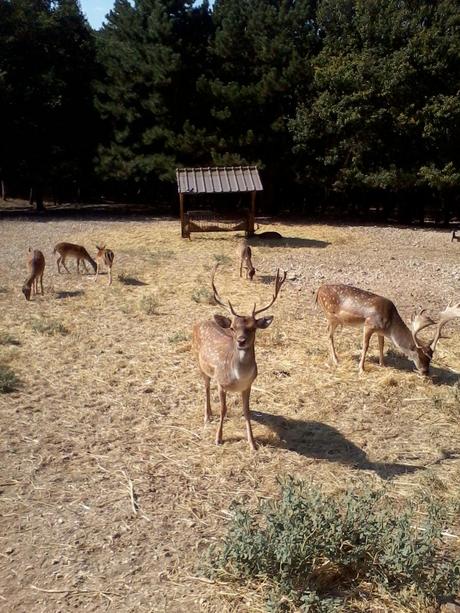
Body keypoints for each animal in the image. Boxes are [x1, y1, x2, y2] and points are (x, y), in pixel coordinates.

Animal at [191, 264, 286, 450]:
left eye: (253, 328)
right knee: (205, 387)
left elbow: (246, 411)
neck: (238, 377)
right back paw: (207, 416)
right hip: (200, 363)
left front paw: (253, 443)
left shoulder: (248, 385)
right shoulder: (221, 383)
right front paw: (218, 438)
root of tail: (198, 323)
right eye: (233, 328)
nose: (241, 341)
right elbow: (223, 410)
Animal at [316, 284, 460, 376]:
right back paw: (336, 360)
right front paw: (361, 369)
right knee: (328, 335)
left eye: (431, 357)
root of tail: (318, 290)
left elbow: (381, 345)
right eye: (420, 355)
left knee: (328, 333)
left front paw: (382, 364)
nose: (425, 372)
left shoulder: (380, 331)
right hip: (331, 316)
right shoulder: (368, 325)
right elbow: (366, 346)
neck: (390, 325)